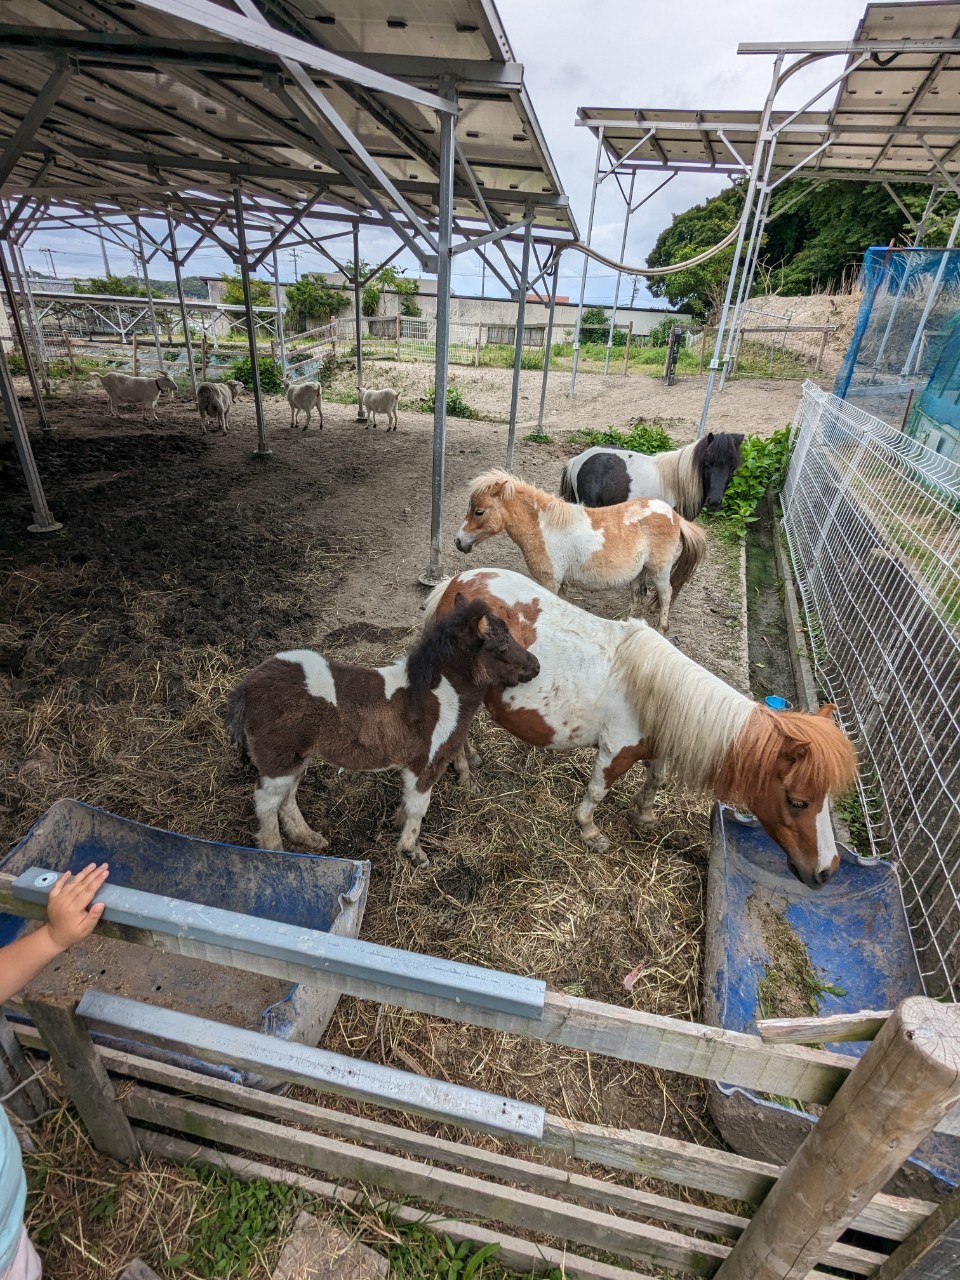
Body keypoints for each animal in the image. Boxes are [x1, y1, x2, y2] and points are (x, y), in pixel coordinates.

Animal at [226, 593, 542, 865]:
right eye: (501, 648)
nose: (536, 666)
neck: (438, 695)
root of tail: (247, 686)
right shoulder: (425, 765)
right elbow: (418, 808)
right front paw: (414, 852)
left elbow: (408, 802)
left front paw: (397, 824)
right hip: (277, 760)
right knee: (266, 802)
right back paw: (275, 851)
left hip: (296, 758)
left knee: (286, 797)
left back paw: (308, 837)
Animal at [424, 570, 860, 890]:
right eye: (798, 801)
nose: (827, 872)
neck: (656, 691)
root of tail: (459, 581)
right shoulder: (614, 752)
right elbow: (597, 791)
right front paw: (590, 831)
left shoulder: (659, 745)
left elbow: (657, 779)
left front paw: (646, 815)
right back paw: (466, 776)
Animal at [455, 468, 711, 632]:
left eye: (479, 511)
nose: (459, 541)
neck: (544, 528)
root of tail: (674, 515)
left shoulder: (549, 581)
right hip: (638, 572)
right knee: (637, 594)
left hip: (659, 570)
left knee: (666, 594)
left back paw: (661, 628)